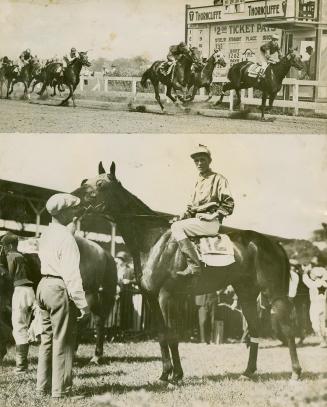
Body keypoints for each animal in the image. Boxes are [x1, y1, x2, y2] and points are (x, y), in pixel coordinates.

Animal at [73, 163, 304, 386]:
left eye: (101, 184)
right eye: (86, 180)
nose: (75, 195)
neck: (153, 240)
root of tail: (273, 243)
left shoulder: (166, 297)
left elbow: (172, 334)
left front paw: (174, 376)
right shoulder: (152, 298)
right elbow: (162, 334)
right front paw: (166, 375)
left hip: (274, 294)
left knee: (288, 328)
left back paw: (295, 372)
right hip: (246, 295)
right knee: (254, 330)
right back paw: (247, 372)